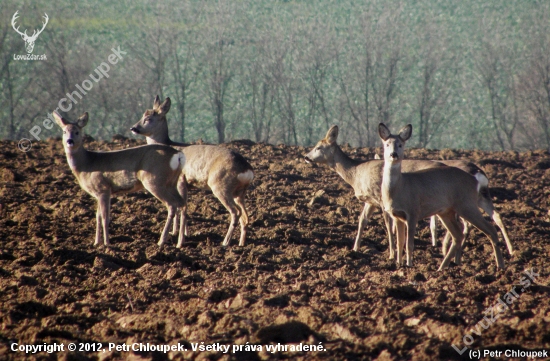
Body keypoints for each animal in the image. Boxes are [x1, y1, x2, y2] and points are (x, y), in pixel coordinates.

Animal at [54, 111, 188, 248]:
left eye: (77, 132)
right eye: (64, 131)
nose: (70, 141)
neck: (86, 164)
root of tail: (178, 155)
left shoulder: (103, 188)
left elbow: (105, 217)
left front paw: (107, 244)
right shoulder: (98, 193)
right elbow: (97, 216)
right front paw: (96, 243)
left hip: (154, 181)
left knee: (172, 204)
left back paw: (161, 241)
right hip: (171, 182)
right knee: (182, 203)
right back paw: (180, 242)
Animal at [132, 95, 254, 248]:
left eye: (148, 118)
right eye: (142, 115)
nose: (133, 128)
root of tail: (247, 170)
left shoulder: (181, 180)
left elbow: (183, 208)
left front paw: (180, 239)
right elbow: (180, 207)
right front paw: (176, 232)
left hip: (221, 185)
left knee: (235, 212)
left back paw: (225, 242)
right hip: (239, 192)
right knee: (245, 216)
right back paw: (241, 244)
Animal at [382, 122, 506, 268]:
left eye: (400, 145)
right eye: (387, 144)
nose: (393, 154)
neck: (399, 188)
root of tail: (474, 180)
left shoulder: (413, 212)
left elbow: (409, 244)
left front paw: (409, 265)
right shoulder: (397, 216)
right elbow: (400, 242)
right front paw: (398, 264)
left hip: (466, 204)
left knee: (490, 229)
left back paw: (500, 266)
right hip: (447, 211)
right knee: (458, 235)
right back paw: (442, 267)